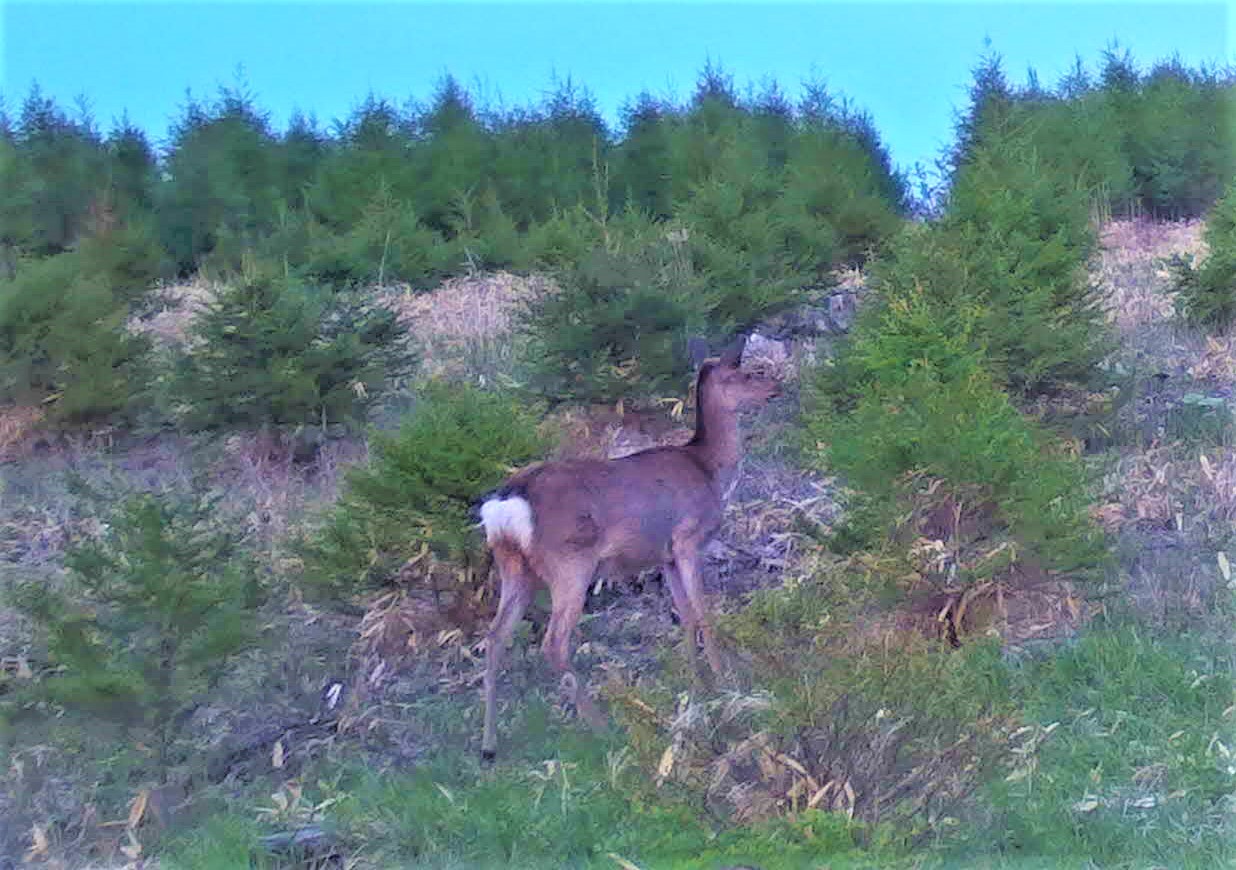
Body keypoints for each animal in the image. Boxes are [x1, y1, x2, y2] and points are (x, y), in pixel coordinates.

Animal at [477, 336, 776, 756]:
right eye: (746, 373)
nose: (774, 389)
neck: (709, 470)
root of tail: (508, 503)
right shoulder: (687, 539)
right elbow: (704, 614)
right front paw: (726, 679)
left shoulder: (665, 555)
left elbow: (685, 616)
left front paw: (698, 683)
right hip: (570, 562)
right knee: (554, 643)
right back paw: (603, 728)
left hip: (515, 567)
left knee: (495, 638)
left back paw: (489, 745)